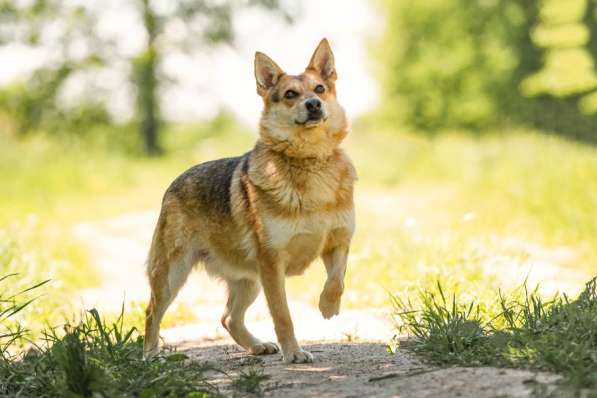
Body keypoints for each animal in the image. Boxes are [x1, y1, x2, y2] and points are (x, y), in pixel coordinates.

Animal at [143, 38, 354, 364]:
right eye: (290, 94)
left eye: (319, 89)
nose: (314, 104)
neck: (309, 159)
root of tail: (176, 181)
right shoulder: (272, 264)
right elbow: (283, 315)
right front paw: (294, 352)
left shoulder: (339, 242)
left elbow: (337, 280)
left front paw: (328, 306)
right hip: (172, 274)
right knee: (151, 312)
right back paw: (151, 354)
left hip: (248, 280)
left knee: (228, 317)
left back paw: (257, 345)